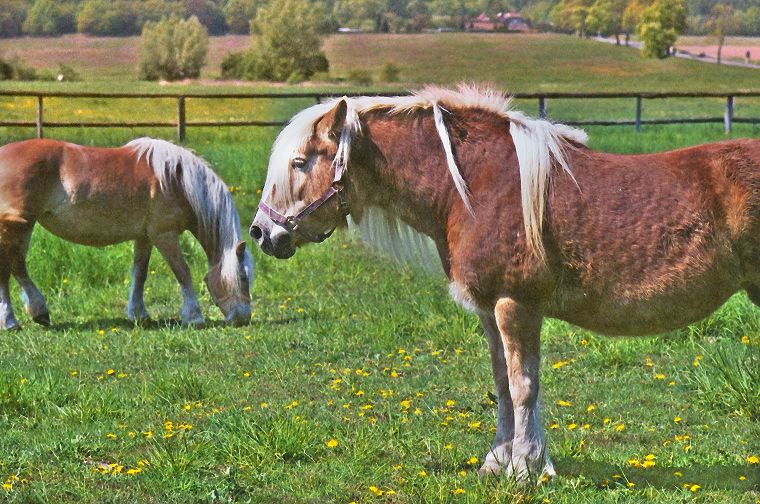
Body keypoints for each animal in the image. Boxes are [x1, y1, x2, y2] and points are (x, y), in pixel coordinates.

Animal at [0, 138, 255, 328]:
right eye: (243, 278)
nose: (244, 318)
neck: (177, 181)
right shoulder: (164, 235)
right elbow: (182, 272)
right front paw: (194, 317)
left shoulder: (144, 237)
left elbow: (139, 273)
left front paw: (139, 314)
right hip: (17, 225)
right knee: (9, 269)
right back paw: (14, 320)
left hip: (24, 226)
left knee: (17, 266)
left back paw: (36, 313)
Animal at [252, 86, 760, 480]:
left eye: (300, 162)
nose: (261, 232)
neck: (476, 188)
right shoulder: (488, 307)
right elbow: (501, 381)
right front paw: (498, 461)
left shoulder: (517, 304)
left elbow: (523, 385)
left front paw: (526, 467)